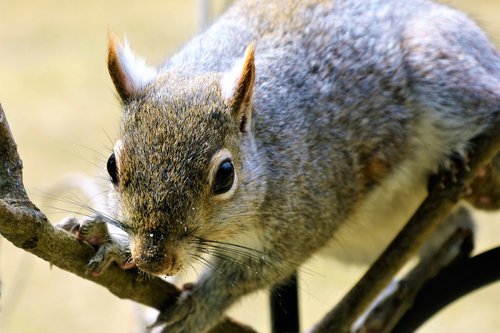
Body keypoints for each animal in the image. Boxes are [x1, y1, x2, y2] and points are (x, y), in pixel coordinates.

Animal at [58, 0, 500, 330]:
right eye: (112, 165)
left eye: (225, 175)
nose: (154, 260)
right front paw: (109, 239)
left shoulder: (304, 218)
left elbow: (251, 275)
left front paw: (202, 305)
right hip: (376, 237)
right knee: (457, 230)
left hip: (445, 69)